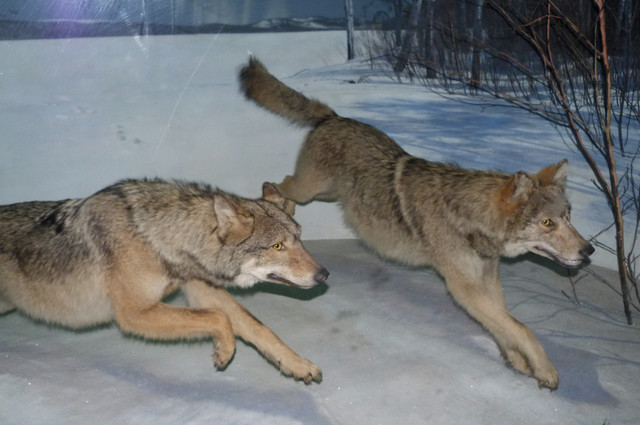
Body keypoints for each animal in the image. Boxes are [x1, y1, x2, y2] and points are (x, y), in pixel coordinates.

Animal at [0, 179, 328, 383]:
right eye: (278, 246)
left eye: (299, 239)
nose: (324, 275)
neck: (154, 235)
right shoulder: (134, 313)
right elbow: (218, 318)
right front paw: (223, 351)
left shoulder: (200, 289)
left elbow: (258, 328)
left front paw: (297, 365)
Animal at [239, 57, 594, 389]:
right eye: (547, 222)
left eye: (568, 215)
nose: (588, 251)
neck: (470, 217)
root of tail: (335, 117)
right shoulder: (463, 287)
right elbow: (522, 328)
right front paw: (546, 371)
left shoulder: (488, 279)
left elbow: (506, 324)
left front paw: (518, 362)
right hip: (310, 189)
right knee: (277, 183)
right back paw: (277, 210)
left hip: (327, 194)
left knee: (281, 184)